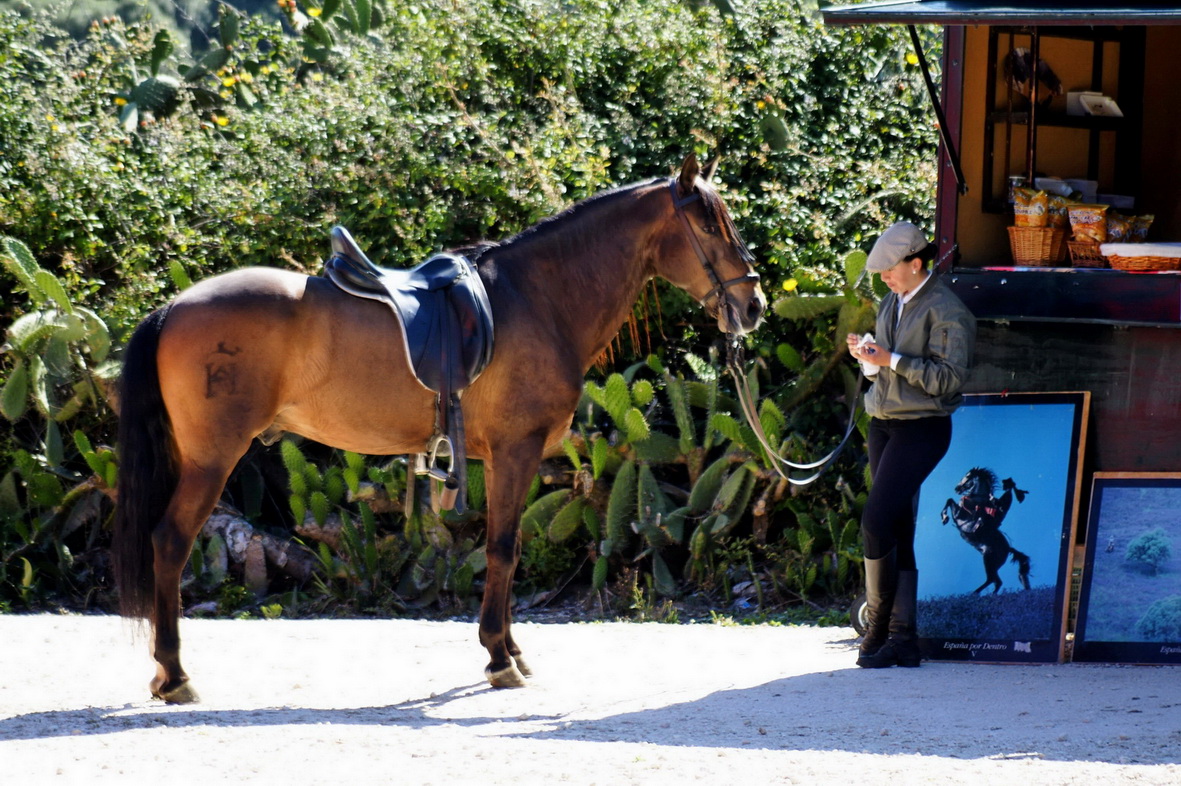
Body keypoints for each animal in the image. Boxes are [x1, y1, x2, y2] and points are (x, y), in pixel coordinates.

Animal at [112, 153, 765, 698]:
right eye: (710, 226)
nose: (753, 305)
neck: (537, 299)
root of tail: (173, 308)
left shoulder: (502, 460)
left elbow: (505, 546)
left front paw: (510, 650)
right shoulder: (516, 452)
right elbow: (503, 548)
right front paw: (499, 658)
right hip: (212, 459)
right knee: (170, 542)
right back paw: (175, 675)